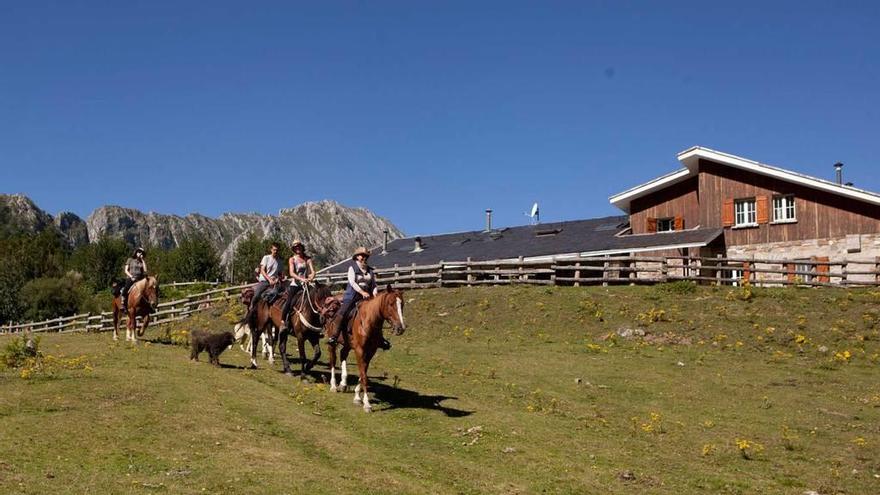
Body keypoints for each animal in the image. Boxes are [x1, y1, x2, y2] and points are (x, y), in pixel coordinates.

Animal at [328, 284, 408, 412]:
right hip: (332, 343)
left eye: (402, 304)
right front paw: (367, 404)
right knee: (333, 361)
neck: (368, 321)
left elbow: (363, 373)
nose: (400, 328)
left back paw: (343, 383)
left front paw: (357, 397)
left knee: (343, 354)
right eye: (391, 304)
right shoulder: (360, 350)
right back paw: (333, 386)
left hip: (348, 344)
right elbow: (363, 375)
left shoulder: (370, 352)